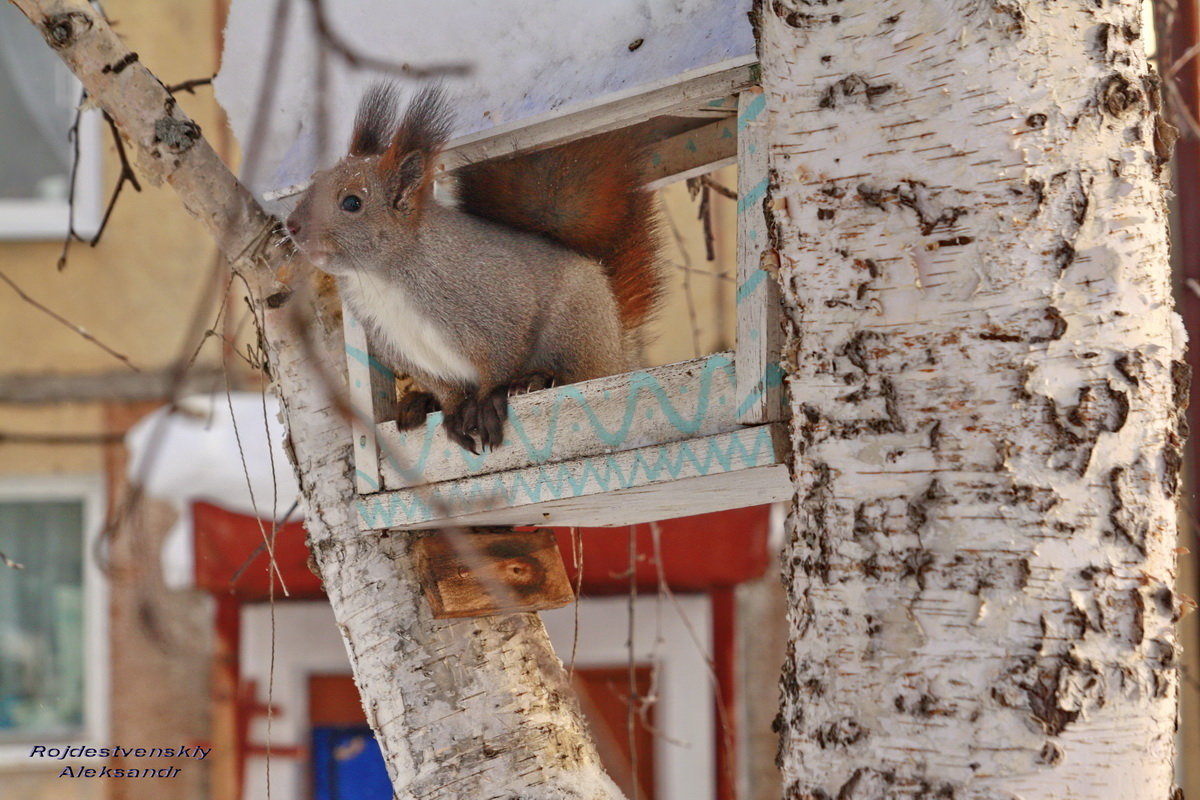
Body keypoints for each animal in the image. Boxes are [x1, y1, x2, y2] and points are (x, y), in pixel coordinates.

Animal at [286, 86, 672, 455]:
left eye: (352, 203)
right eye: (312, 186)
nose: (291, 225)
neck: (382, 277)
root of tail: (620, 348)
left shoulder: (495, 304)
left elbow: (500, 358)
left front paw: (486, 402)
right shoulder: (397, 342)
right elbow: (446, 389)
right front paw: (453, 409)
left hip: (576, 329)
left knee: (576, 373)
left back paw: (532, 381)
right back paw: (418, 403)